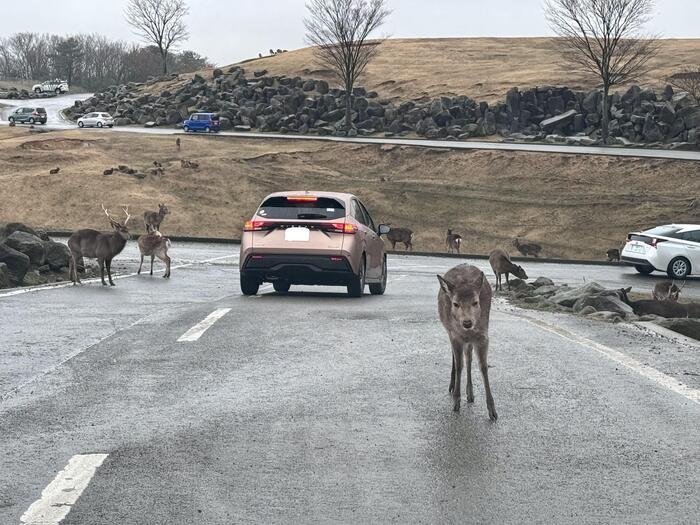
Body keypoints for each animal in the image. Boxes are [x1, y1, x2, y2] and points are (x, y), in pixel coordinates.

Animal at [438, 264, 498, 420]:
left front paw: (492, 410)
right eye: (455, 304)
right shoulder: (455, 336)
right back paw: (453, 387)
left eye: (475, 302)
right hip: (449, 332)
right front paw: (456, 402)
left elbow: (483, 367)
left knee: (469, 358)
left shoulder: (482, 336)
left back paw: (470, 393)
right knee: (458, 359)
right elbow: (459, 366)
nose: (467, 322)